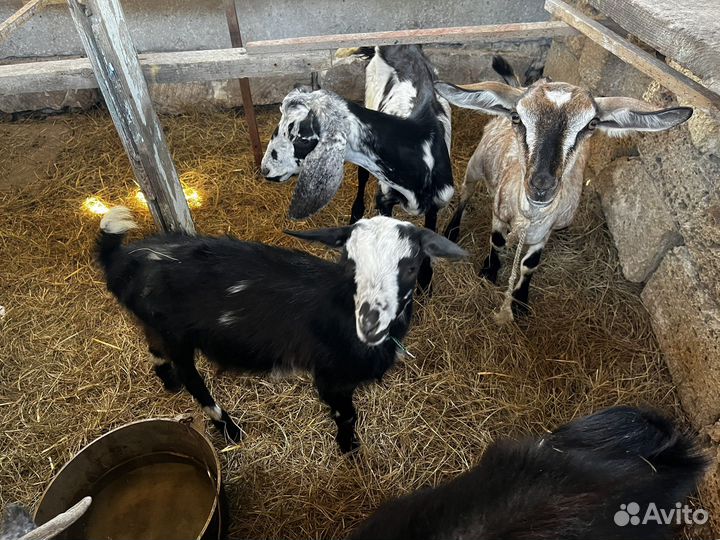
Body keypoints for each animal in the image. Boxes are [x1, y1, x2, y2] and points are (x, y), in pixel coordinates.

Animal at [96, 207, 466, 453]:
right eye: (349, 263)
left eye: (412, 267)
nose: (370, 322)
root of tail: (123, 260)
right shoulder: (330, 377)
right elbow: (347, 415)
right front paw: (349, 448)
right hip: (177, 336)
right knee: (193, 381)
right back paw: (229, 428)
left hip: (154, 325)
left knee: (155, 351)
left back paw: (169, 383)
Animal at [260, 45, 453, 291]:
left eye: (301, 138)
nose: (265, 169)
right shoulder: (384, 199)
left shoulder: (437, 203)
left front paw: (426, 279)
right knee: (362, 177)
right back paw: (356, 211)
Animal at [436, 56, 692, 317]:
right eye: (517, 117)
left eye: (592, 124)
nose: (542, 185)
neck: (530, 215)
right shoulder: (499, 212)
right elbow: (496, 241)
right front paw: (489, 271)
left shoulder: (545, 232)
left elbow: (530, 264)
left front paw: (520, 300)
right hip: (475, 165)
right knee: (466, 193)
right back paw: (451, 230)